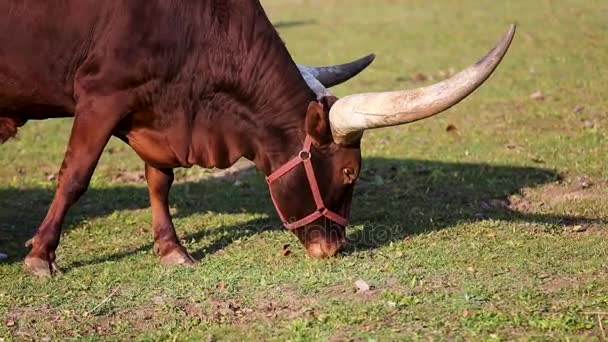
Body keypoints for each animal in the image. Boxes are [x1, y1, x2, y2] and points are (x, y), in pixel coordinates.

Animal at [0, 0, 516, 276]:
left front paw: (172, 250)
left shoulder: (157, 110)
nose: (334, 248)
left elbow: (160, 181)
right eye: (351, 172)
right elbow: (75, 177)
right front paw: (41, 256)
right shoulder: (101, 98)